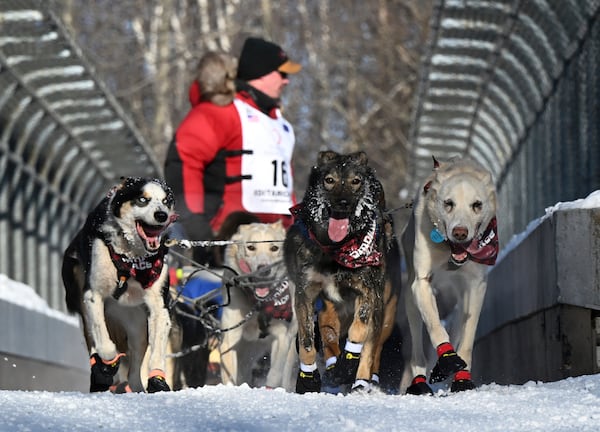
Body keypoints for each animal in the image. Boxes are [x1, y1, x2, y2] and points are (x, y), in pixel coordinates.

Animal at [218, 221, 298, 390]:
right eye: (251, 247)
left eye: (274, 248)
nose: (263, 269)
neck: (260, 304)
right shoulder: (230, 339)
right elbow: (230, 376)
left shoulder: (282, 337)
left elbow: (274, 375)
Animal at [400, 157, 500, 394]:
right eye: (448, 203)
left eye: (477, 204)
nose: (460, 232)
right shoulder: (422, 283)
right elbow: (436, 326)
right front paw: (447, 359)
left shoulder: (476, 286)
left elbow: (467, 340)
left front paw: (462, 378)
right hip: (410, 300)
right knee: (417, 346)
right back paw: (419, 380)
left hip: (461, 301)